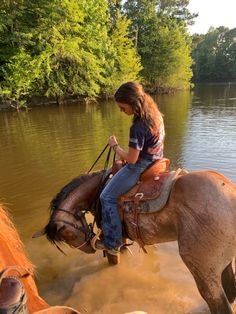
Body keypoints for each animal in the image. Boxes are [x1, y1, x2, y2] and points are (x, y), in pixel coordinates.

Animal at [34, 169, 236, 314]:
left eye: (67, 234)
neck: (99, 189)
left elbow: (113, 257)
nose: (89, 249)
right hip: (225, 262)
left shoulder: (112, 237)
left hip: (203, 270)